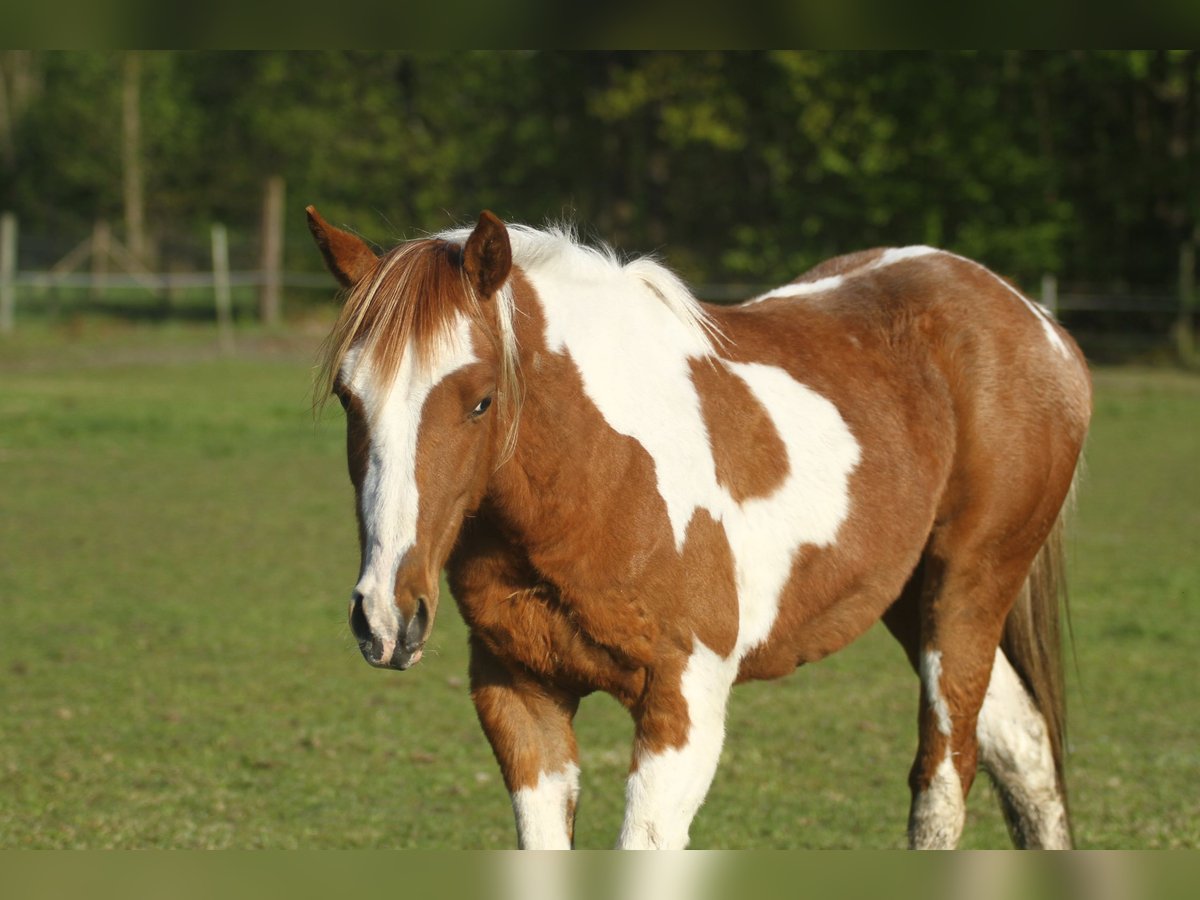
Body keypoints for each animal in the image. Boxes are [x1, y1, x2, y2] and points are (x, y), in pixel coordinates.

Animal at [304, 206, 1094, 854]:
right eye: (349, 397)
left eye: (480, 400)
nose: (386, 617)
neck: (598, 474)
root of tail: (1036, 321)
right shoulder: (520, 697)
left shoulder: (683, 706)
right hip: (912, 599)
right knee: (1023, 746)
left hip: (969, 590)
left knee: (945, 775)